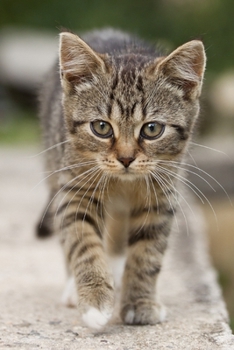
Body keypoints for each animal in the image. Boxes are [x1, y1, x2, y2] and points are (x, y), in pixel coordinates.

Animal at [37, 28, 206, 330]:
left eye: (152, 129)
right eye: (101, 127)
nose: (126, 159)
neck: (123, 183)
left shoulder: (161, 196)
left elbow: (147, 253)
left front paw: (139, 301)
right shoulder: (75, 190)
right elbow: (82, 241)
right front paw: (94, 299)